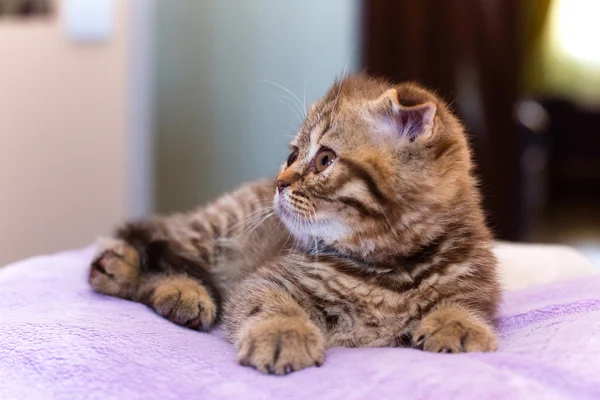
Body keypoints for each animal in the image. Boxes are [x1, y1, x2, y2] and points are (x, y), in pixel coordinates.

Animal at [90, 74, 502, 376]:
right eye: (291, 156)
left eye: (324, 160)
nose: (280, 182)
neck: (389, 269)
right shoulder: (270, 277)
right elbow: (268, 302)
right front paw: (282, 332)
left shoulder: (477, 284)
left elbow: (464, 304)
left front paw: (458, 325)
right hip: (216, 229)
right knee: (156, 238)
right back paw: (148, 279)